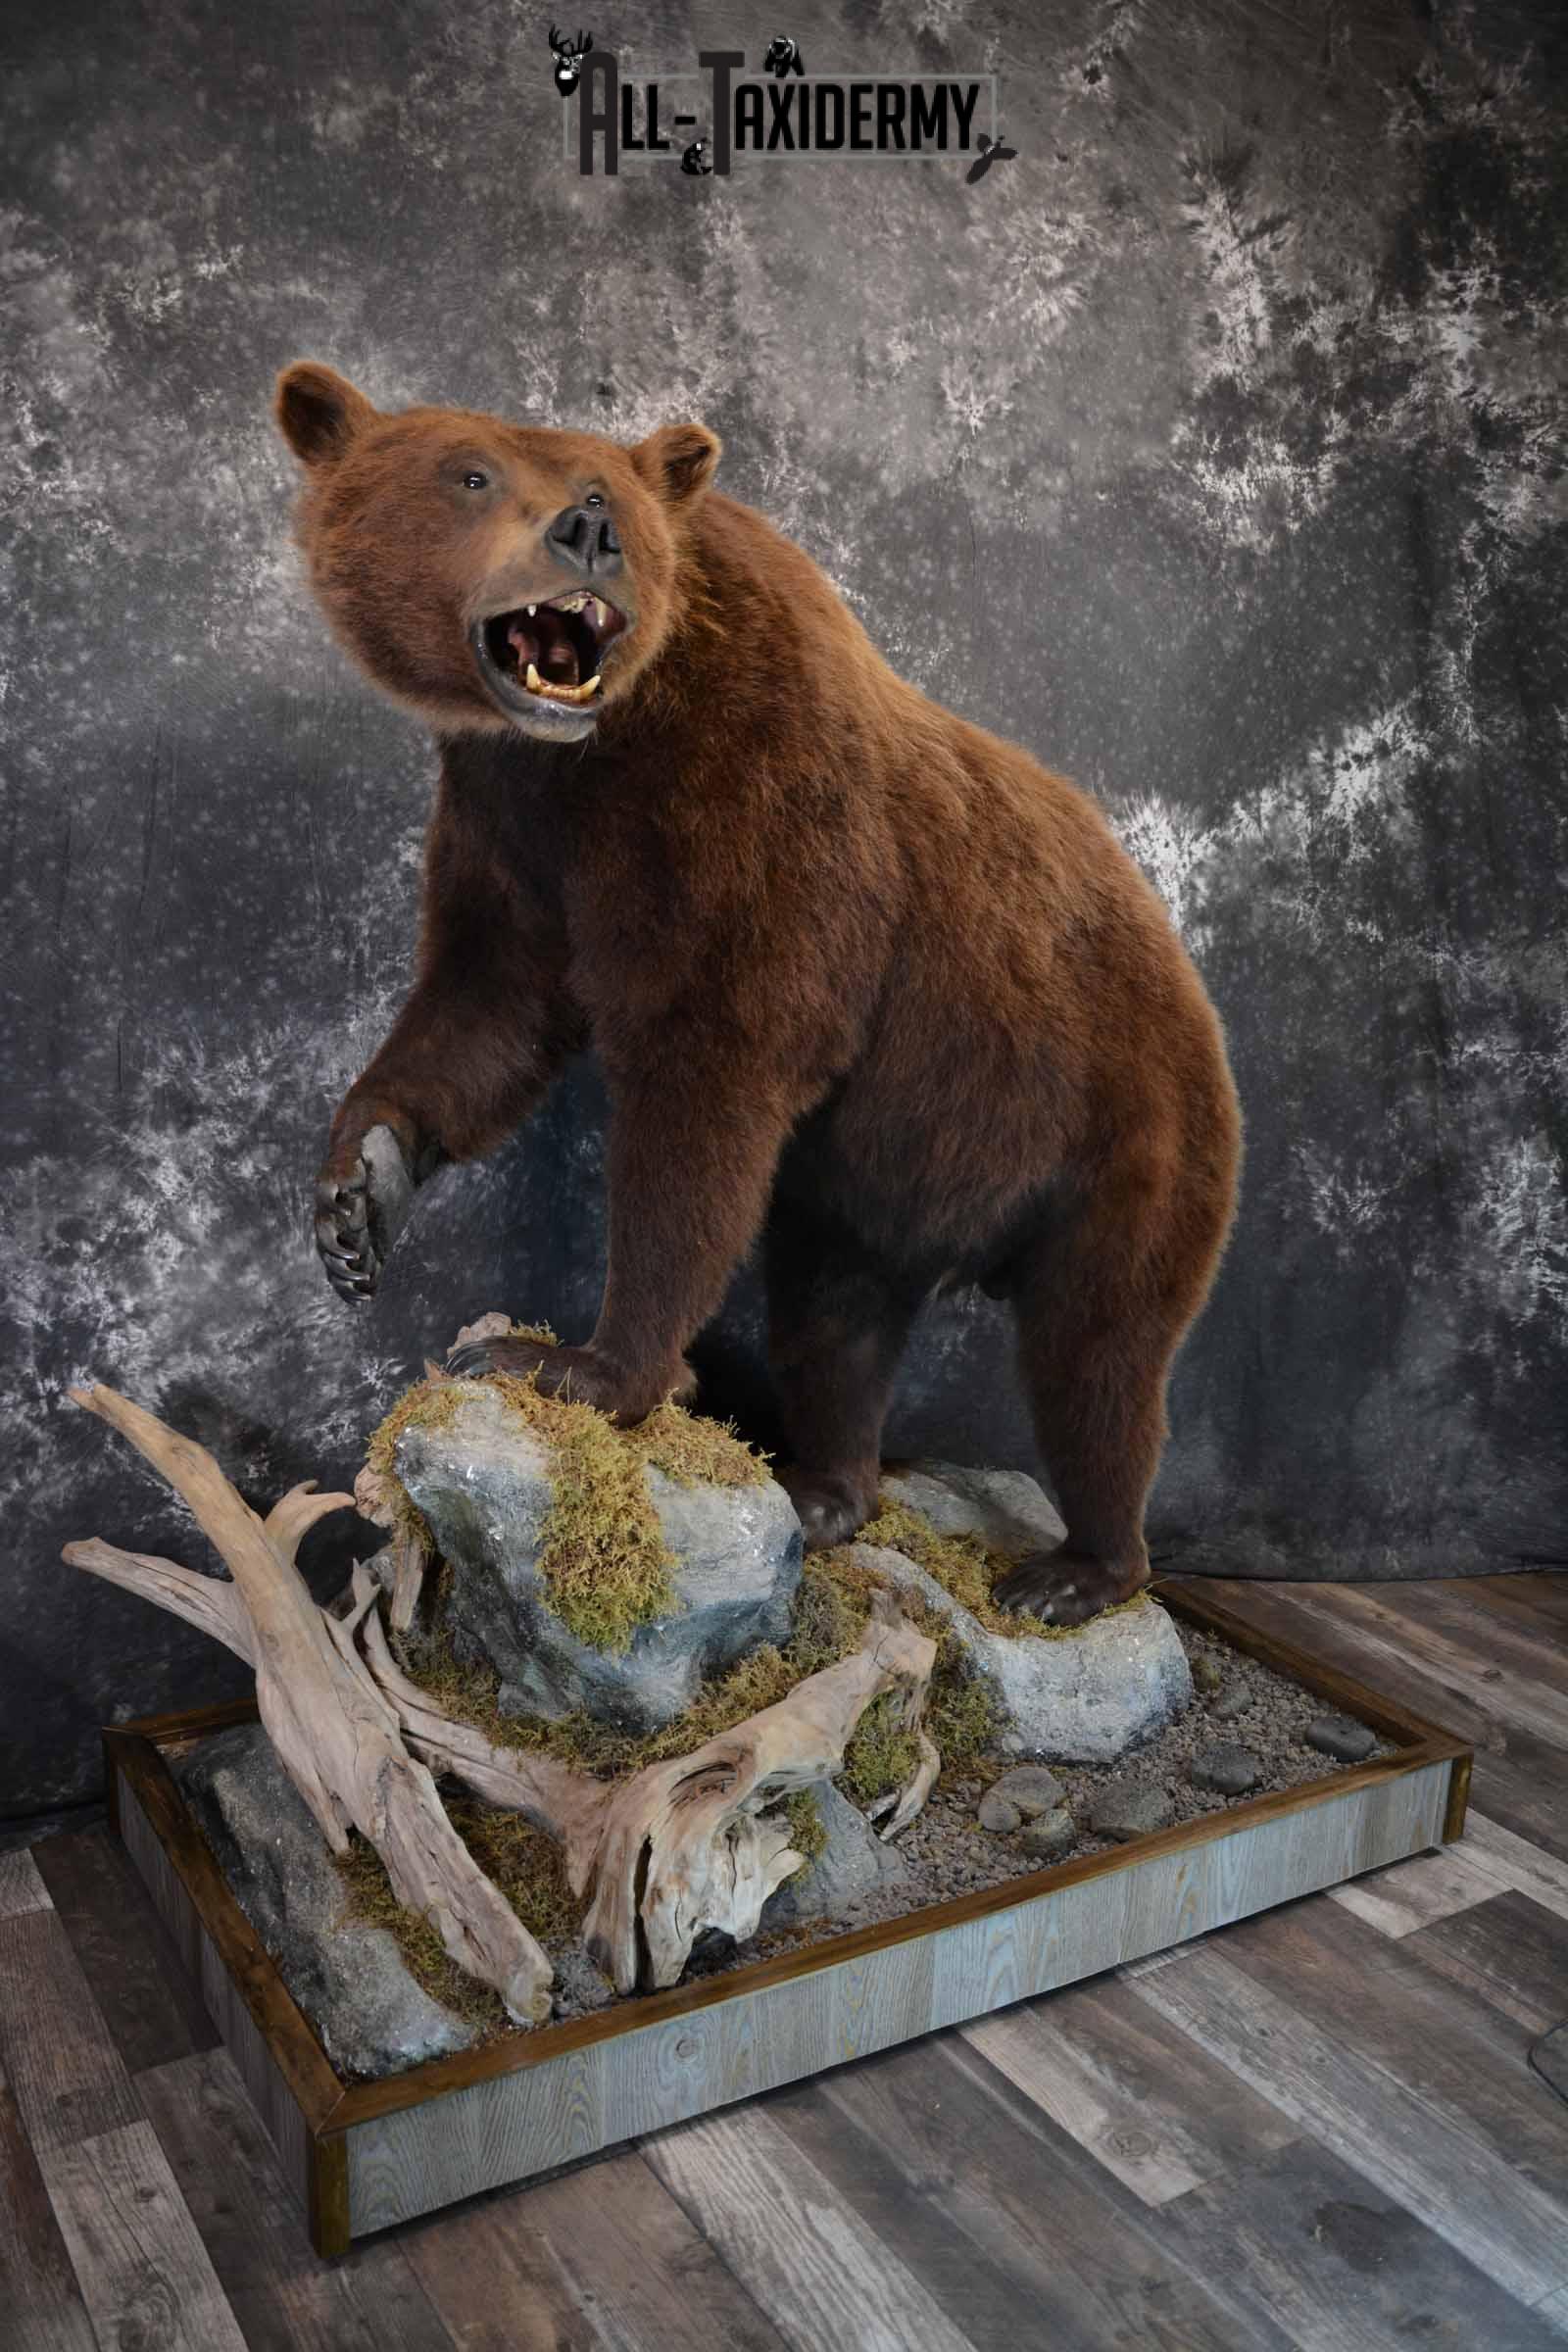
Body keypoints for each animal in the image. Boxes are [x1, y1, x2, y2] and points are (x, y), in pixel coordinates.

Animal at [275, 361, 1242, 1626]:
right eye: (470, 472)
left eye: (611, 494)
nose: (587, 534)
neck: (600, 747)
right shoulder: (512, 820)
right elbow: (487, 1006)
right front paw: (358, 1193)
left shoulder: (754, 808)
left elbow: (705, 1087)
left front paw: (581, 1364)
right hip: (879, 1175)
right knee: (838, 1316)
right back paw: (828, 1489)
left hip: (1121, 1120)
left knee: (1099, 1353)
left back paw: (1079, 1568)